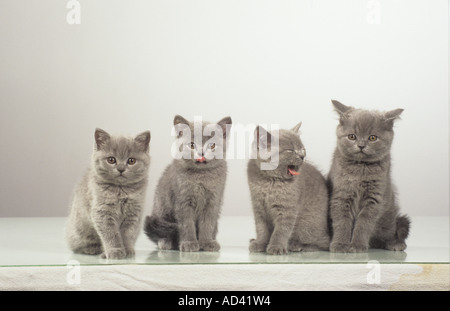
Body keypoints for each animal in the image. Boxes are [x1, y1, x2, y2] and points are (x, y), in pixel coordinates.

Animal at [66, 128, 151, 260]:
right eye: (111, 160)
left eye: (131, 161)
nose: (121, 168)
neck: (121, 190)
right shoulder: (102, 212)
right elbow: (111, 234)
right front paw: (115, 251)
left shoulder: (133, 213)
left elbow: (128, 234)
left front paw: (127, 250)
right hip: (79, 230)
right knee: (77, 246)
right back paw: (95, 250)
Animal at [145, 116, 232, 252]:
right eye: (191, 145)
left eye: (212, 145)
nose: (201, 153)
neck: (201, 176)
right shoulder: (183, 201)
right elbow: (187, 224)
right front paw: (189, 243)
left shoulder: (212, 201)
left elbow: (207, 223)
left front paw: (207, 242)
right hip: (161, 211)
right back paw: (165, 242)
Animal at [326, 100, 412, 254]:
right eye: (352, 136)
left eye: (372, 138)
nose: (361, 145)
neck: (361, 168)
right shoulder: (341, 195)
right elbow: (342, 221)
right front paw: (340, 244)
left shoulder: (374, 198)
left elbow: (364, 223)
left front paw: (357, 245)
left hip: (390, 218)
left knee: (392, 232)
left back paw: (395, 243)